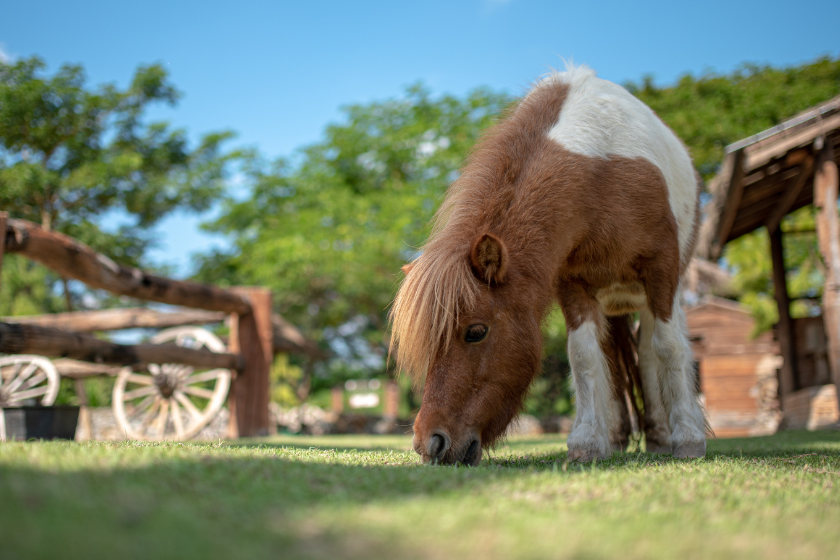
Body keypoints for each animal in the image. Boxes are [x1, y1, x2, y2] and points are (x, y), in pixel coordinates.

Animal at [390, 65, 704, 466]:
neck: (600, 179)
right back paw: (617, 436)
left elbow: (668, 348)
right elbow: (584, 356)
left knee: (651, 349)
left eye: (476, 331)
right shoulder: (573, 285)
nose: (430, 442)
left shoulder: (661, 271)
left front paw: (689, 439)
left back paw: (662, 435)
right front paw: (588, 442)